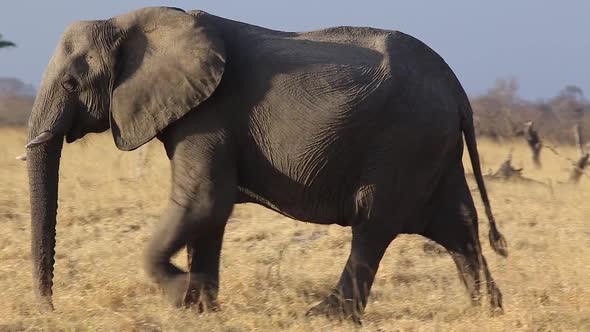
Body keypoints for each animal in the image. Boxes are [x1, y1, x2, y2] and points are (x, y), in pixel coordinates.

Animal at [23, 5, 508, 322]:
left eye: (71, 82)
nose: (50, 309)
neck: (126, 21)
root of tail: (457, 89)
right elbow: (209, 214)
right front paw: (202, 309)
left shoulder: (211, 114)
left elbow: (204, 201)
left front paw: (181, 297)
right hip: (431, 146)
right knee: (458, 225)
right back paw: (487, 310)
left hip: (403, 141)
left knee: (373, 225)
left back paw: (324, 315)